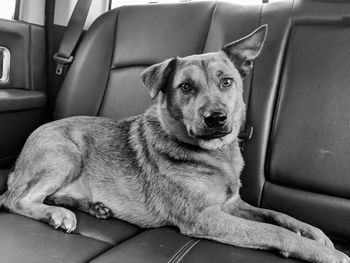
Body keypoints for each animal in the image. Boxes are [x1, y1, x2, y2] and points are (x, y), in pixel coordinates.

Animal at [0, 25, 350, 263]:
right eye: (185, 87)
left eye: (227, 82)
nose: (216, 118)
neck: (214, 155)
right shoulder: (203, 217)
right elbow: (274, 231)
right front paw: (323, 252)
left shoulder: (232, 204)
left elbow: (278, 215)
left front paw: (316, 234)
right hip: (67, 154)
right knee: (16, 200)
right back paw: (58, 214)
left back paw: (91, 206)